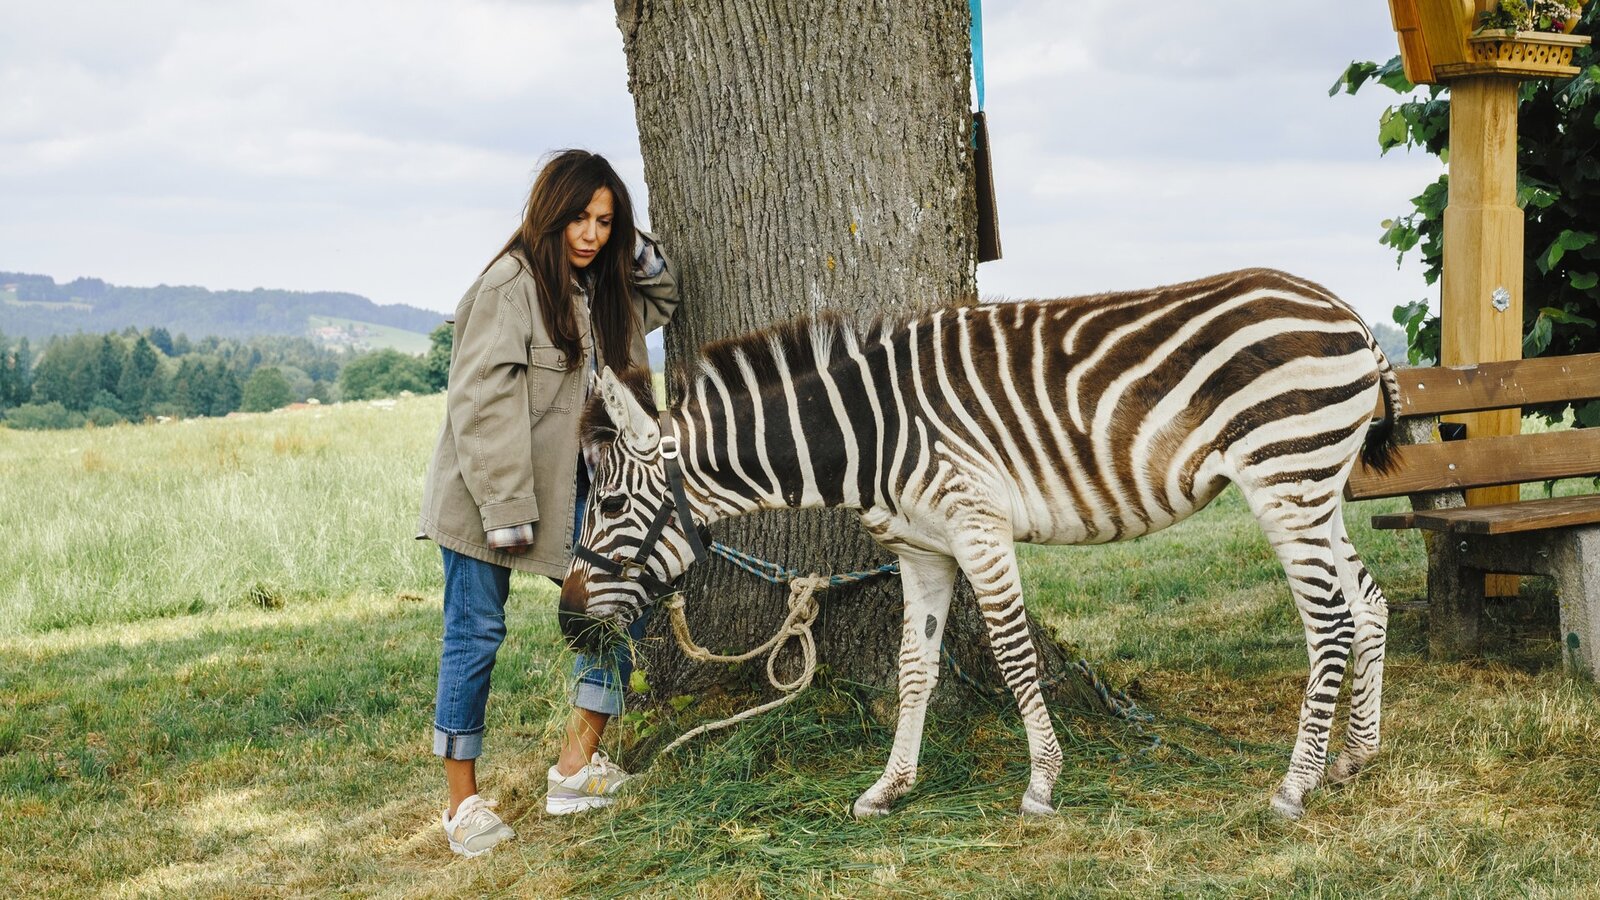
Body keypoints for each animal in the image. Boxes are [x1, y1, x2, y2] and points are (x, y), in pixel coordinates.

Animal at [563, 267, 1401, 819]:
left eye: (609, 503)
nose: (568, 622)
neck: (871, 433)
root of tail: (1351, 316)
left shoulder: (977, 524)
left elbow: (1012, 651)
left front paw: (1042, 782)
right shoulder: (921, 549)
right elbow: (915, 667)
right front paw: (888, 788)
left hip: (1284, 477)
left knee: (1329, 622)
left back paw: (1295, 785)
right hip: (1316, 487)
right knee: (1368, 603)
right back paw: (1355, 757)